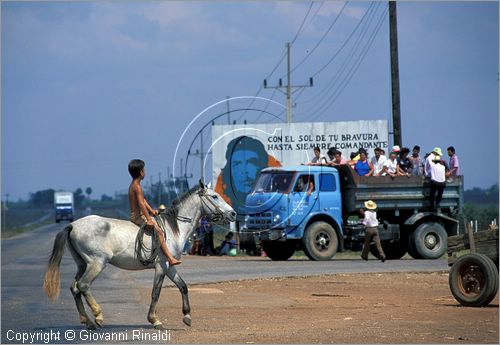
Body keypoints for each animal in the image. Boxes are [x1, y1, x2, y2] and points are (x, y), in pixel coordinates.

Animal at [42, 180, 234, 328]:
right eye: (215, 196)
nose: (233, 213)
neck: (174, 228)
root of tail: (72, 225)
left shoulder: (170, 266)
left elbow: (183, 286)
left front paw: (187, 316)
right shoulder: (161, 266)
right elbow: (156, 292)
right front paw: (154, 320)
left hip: (82, 264)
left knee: (74, 287)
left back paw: (87, 321)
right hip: (97, 263)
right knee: (83, 285)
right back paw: (98, 316)